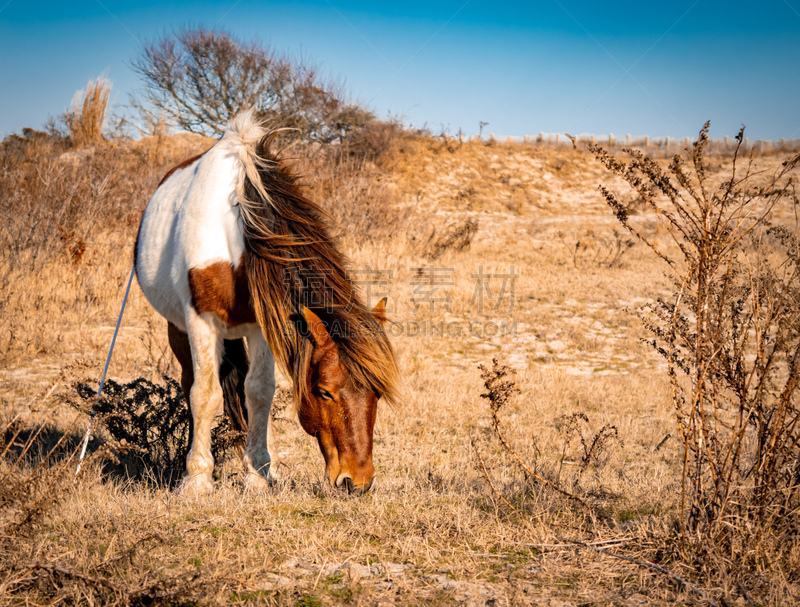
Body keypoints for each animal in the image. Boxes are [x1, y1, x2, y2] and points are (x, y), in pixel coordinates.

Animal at [137, 113, 404, 494]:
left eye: (377, 394)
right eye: (323, 392)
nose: (358, 481)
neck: (237, 230)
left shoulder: (263, 323)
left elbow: (260, 393)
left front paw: (259, 473)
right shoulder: (200, 320)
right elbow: (204, 394)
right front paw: (197, 478)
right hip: (179, 329)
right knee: (192, 382)